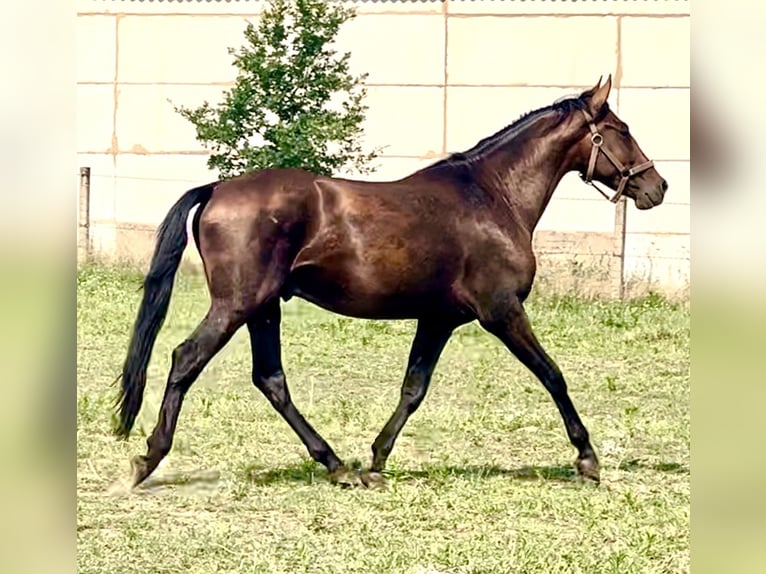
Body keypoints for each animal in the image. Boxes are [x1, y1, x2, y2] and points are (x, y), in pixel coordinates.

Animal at [114, 76, 664, 490]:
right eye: (620, 129)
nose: (657, 186)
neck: (492, 197)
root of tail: (216, 189)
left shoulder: (439, 319)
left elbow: (413, 388)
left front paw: (377, 461)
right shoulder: (501, 311)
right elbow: (552, 375)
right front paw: (587, 459)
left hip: (263, 308)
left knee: (270, 380)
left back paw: (337, 465)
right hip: (236, 305)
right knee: (186, 359)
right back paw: (148, 458)